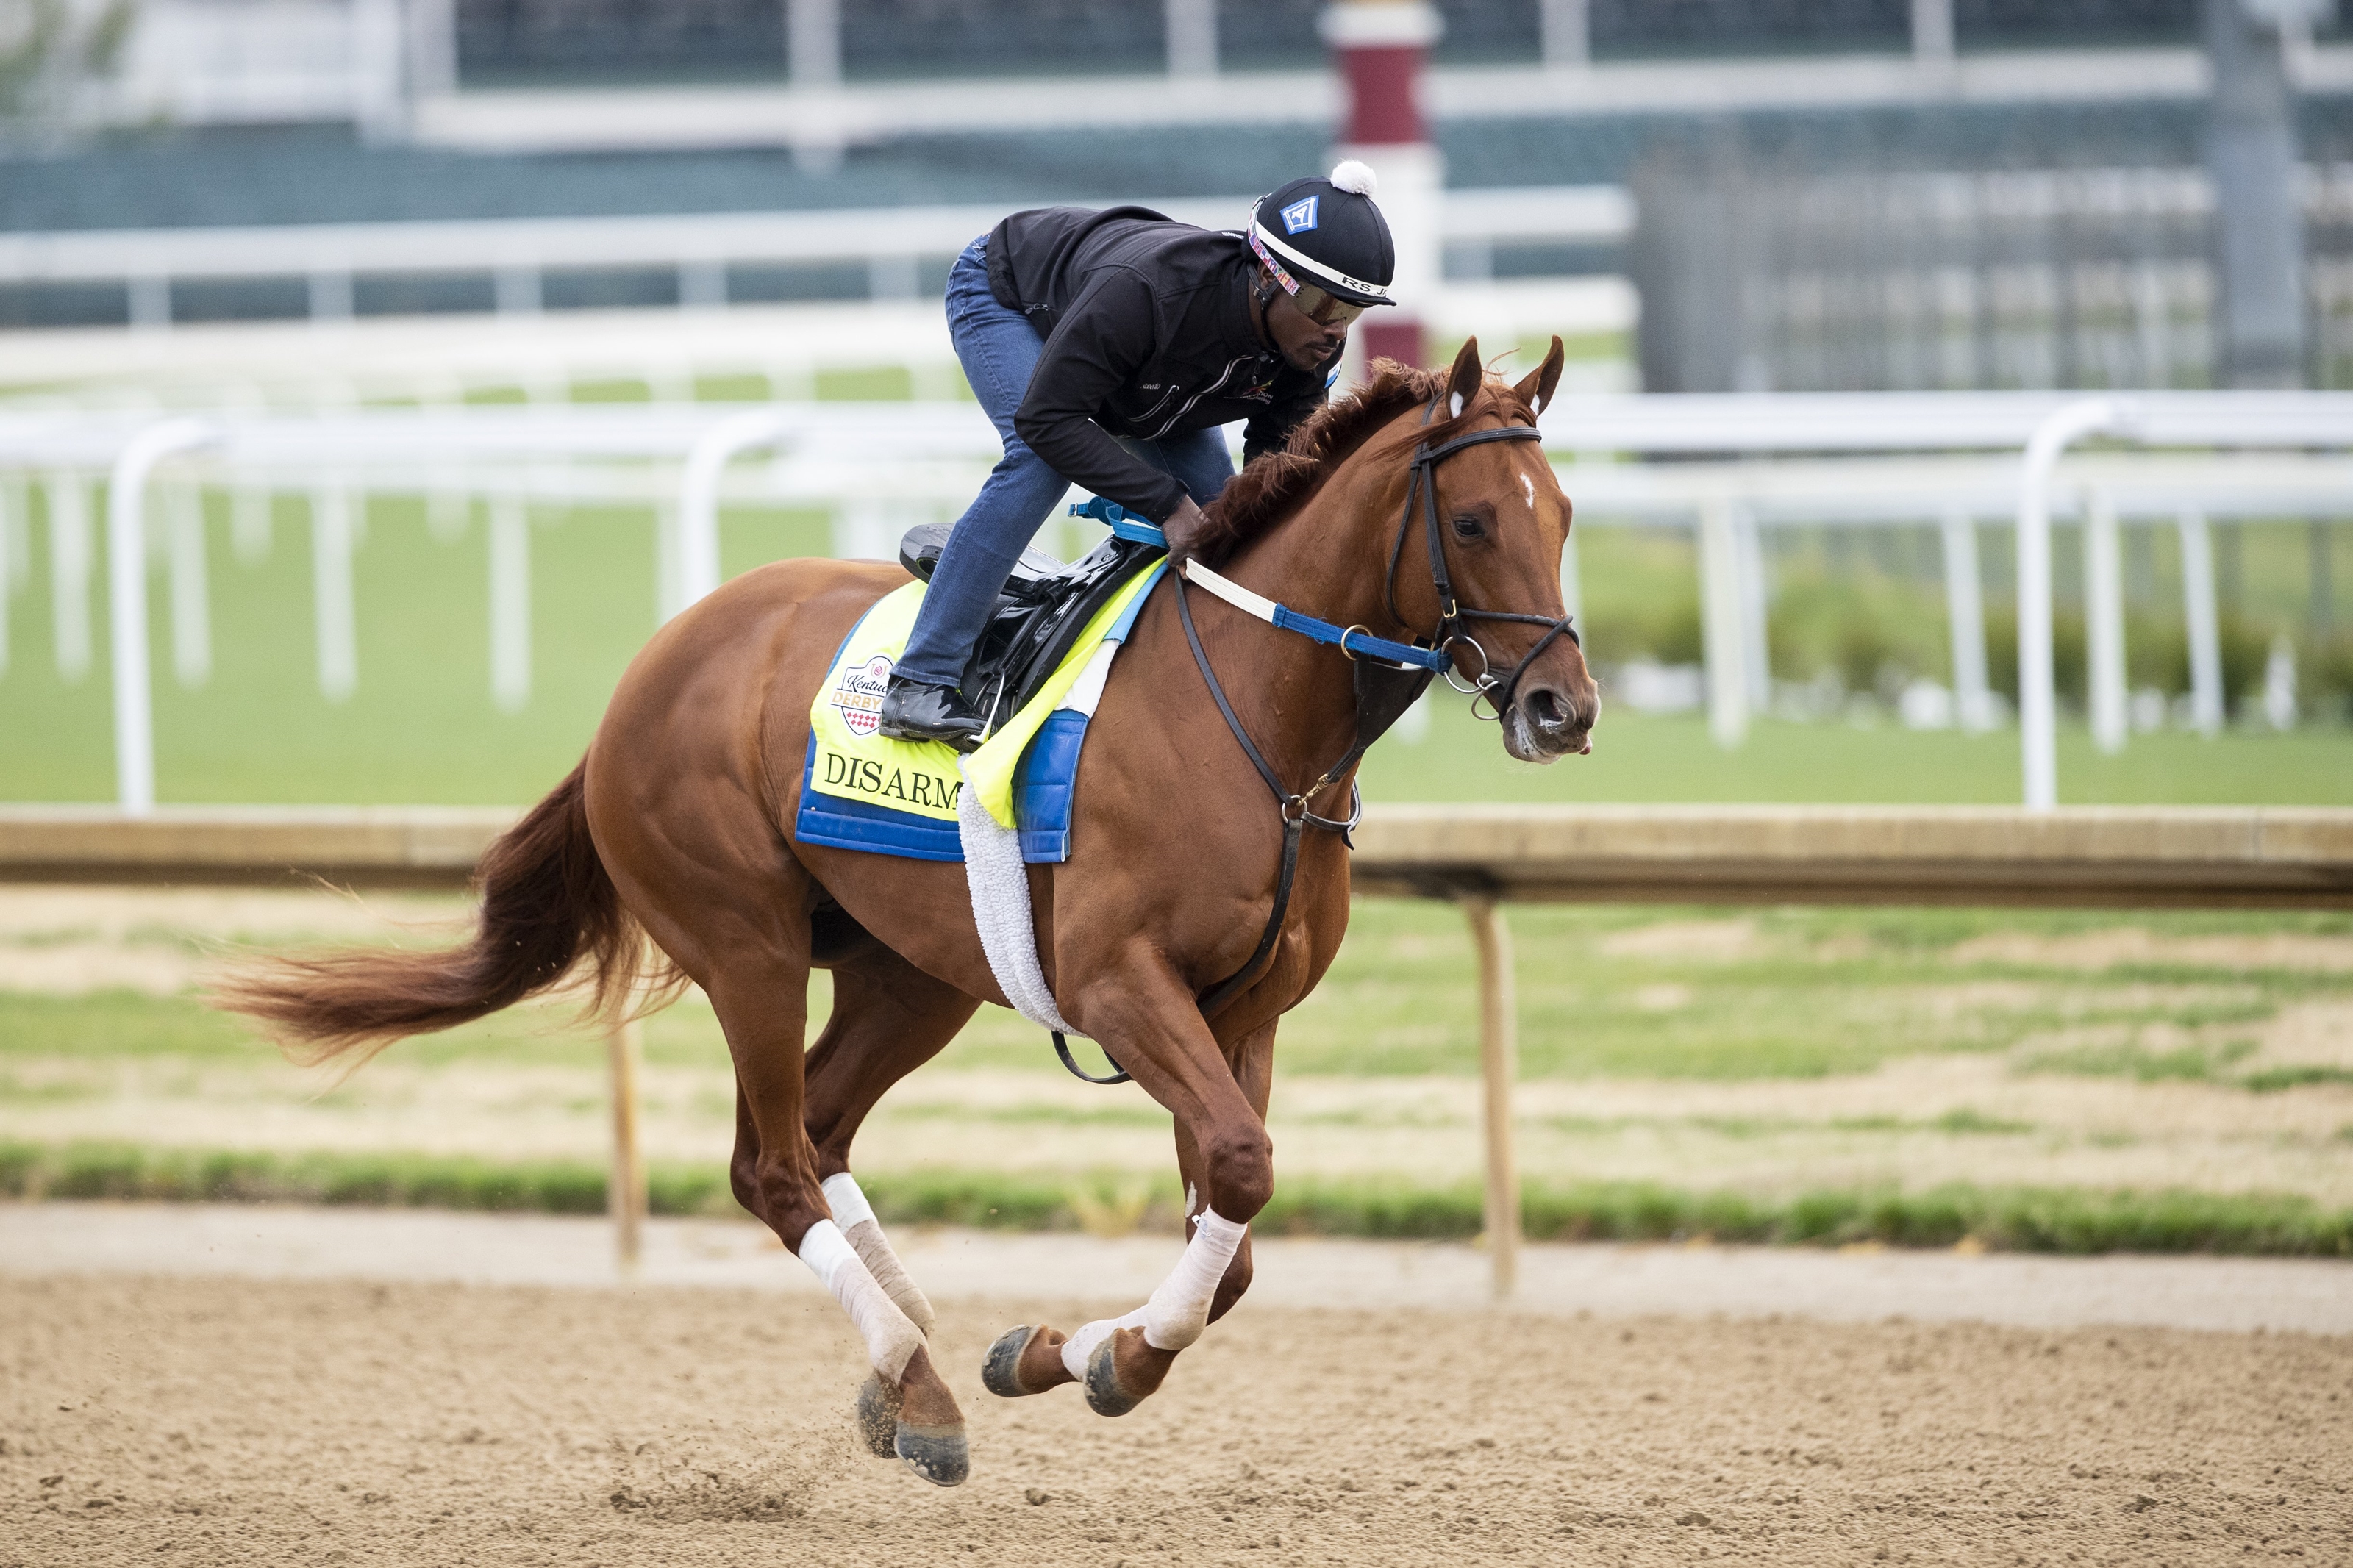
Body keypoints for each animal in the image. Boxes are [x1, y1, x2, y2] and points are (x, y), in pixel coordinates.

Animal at [218, 336, 1599, 1488]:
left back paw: (907, 1362)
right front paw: (1107, 1357)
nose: (1564, 709)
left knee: (823, 1129)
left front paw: (1066, 1350)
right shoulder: (1119, 985)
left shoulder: (1242, 1011)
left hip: (909, 972)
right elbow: (1245, 1170)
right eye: (1474, 518)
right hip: (749, 944)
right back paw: (918, 1381)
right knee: (772, 1162)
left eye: (1569, 516)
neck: (1253, 721)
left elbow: (1236, 1213)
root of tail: (646, 671)